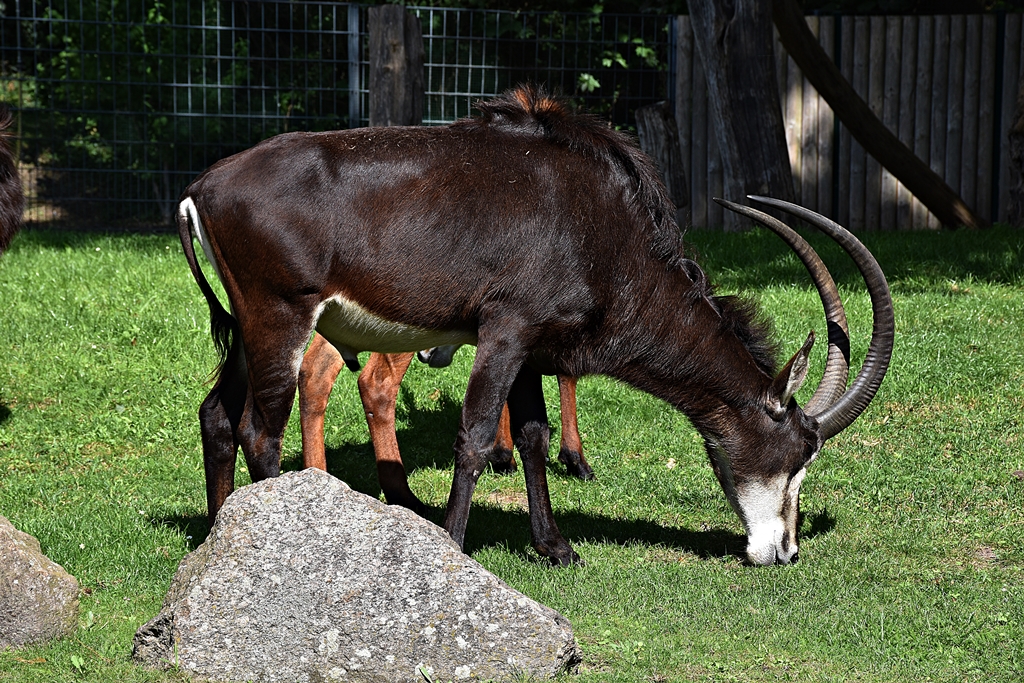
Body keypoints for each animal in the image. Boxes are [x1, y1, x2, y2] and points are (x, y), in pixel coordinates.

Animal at [177, 85, 892, 565]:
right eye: (799, 455)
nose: (785, 552)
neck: (604, 224)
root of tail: (201, 189)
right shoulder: (505, 331)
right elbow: (473, 438)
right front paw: (453, 548)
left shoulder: (529, 345)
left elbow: (530, 435)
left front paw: (555, 546)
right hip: (281, 318)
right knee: (260, 429)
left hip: (249, 328)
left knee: (218, 414)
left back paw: (219, 540)